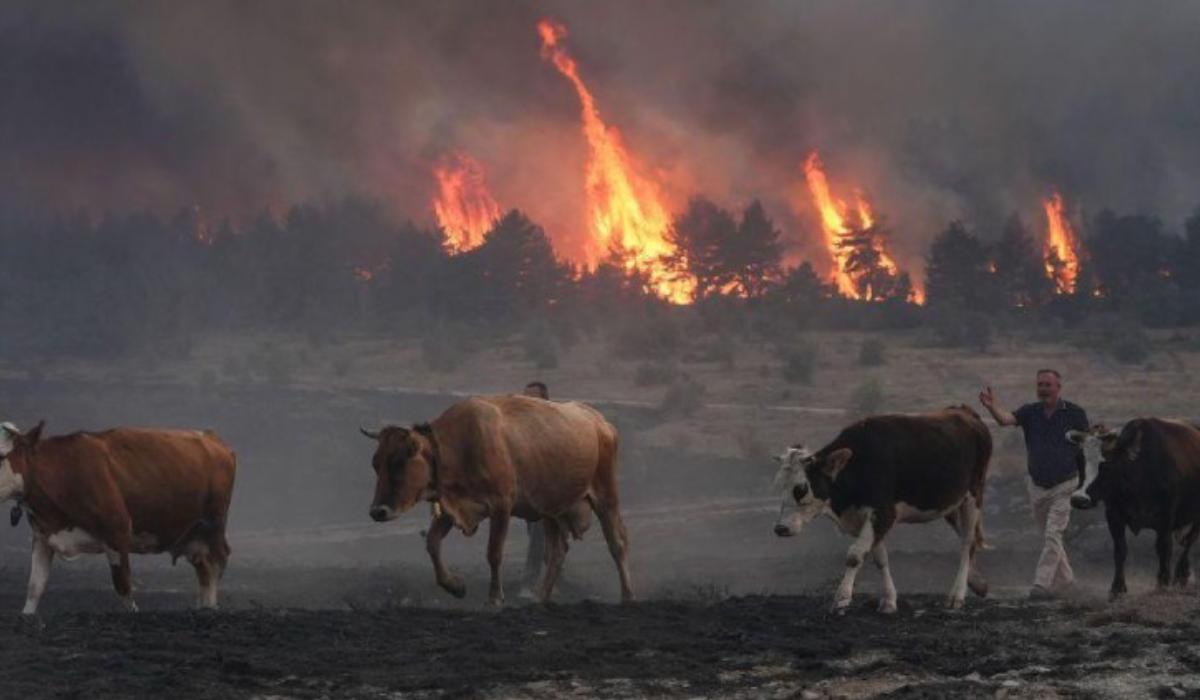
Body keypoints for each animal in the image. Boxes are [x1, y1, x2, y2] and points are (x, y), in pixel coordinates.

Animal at [0, 422, 236, 614]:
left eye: (1, 456)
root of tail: (211, 437)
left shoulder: (118, 531)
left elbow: (123, 586)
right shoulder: (43, 536)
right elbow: (34, 587)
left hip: (213, 523)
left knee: (217, 561)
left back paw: (211, 608)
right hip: (192, 535)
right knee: (204, 567)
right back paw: (202, 606)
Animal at [360, 396, 633, 605]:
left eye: (398, 462)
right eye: (375, 464)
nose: (377, 511)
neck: (459, 447)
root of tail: (600, 423)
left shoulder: (501, 506)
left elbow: (494, 553)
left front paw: (494, 599)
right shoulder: (451, 509)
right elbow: (432, 543)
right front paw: (454, 586)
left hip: (606, 496)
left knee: (617, 544)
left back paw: (627, 596)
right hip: (551, 510)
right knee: (557, 552)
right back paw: (541, 599)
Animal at [777, 405, 993, 614]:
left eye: (801, 488)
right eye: (778, 485)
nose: (780, 528)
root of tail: (964, 411)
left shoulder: (883, 514)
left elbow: (855, 555)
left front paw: (841, 598)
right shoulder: (870, 520)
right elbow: (880, 558)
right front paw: (889, 600)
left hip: (973, 495)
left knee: (967, 543)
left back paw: (957, 595)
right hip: (950, 504)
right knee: (967, 540)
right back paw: (978, 583)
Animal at [1070, 420, 1200, 600]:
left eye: (1107, 463)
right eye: (1079, 460)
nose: (1079, 499)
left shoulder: (1166, 520)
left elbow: (1163, 548)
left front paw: (1162, 583)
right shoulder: (1114, 516)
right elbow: (1120, 550)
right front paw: (1117, 588)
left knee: (1189, 541)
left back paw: (1181, 574)